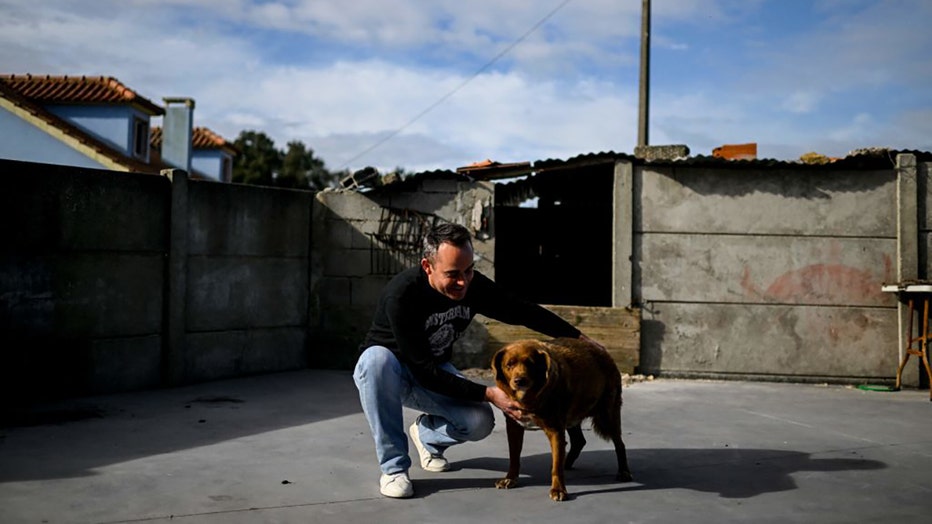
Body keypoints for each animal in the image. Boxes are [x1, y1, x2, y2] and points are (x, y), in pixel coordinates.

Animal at [488, 338, 632, 502]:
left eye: (531, 364)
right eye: (509, 365)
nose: (520, 381)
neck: (530, 397)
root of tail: (603, 351)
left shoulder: (555, 429)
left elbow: (556, 467)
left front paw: (558, 489)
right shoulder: (513, 426)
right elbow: (514, 456)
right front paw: (510, 478)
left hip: (608, 415)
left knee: (619, 444)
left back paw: (624, 472)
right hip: (574, 415)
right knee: (579, 441)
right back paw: (567, 463)